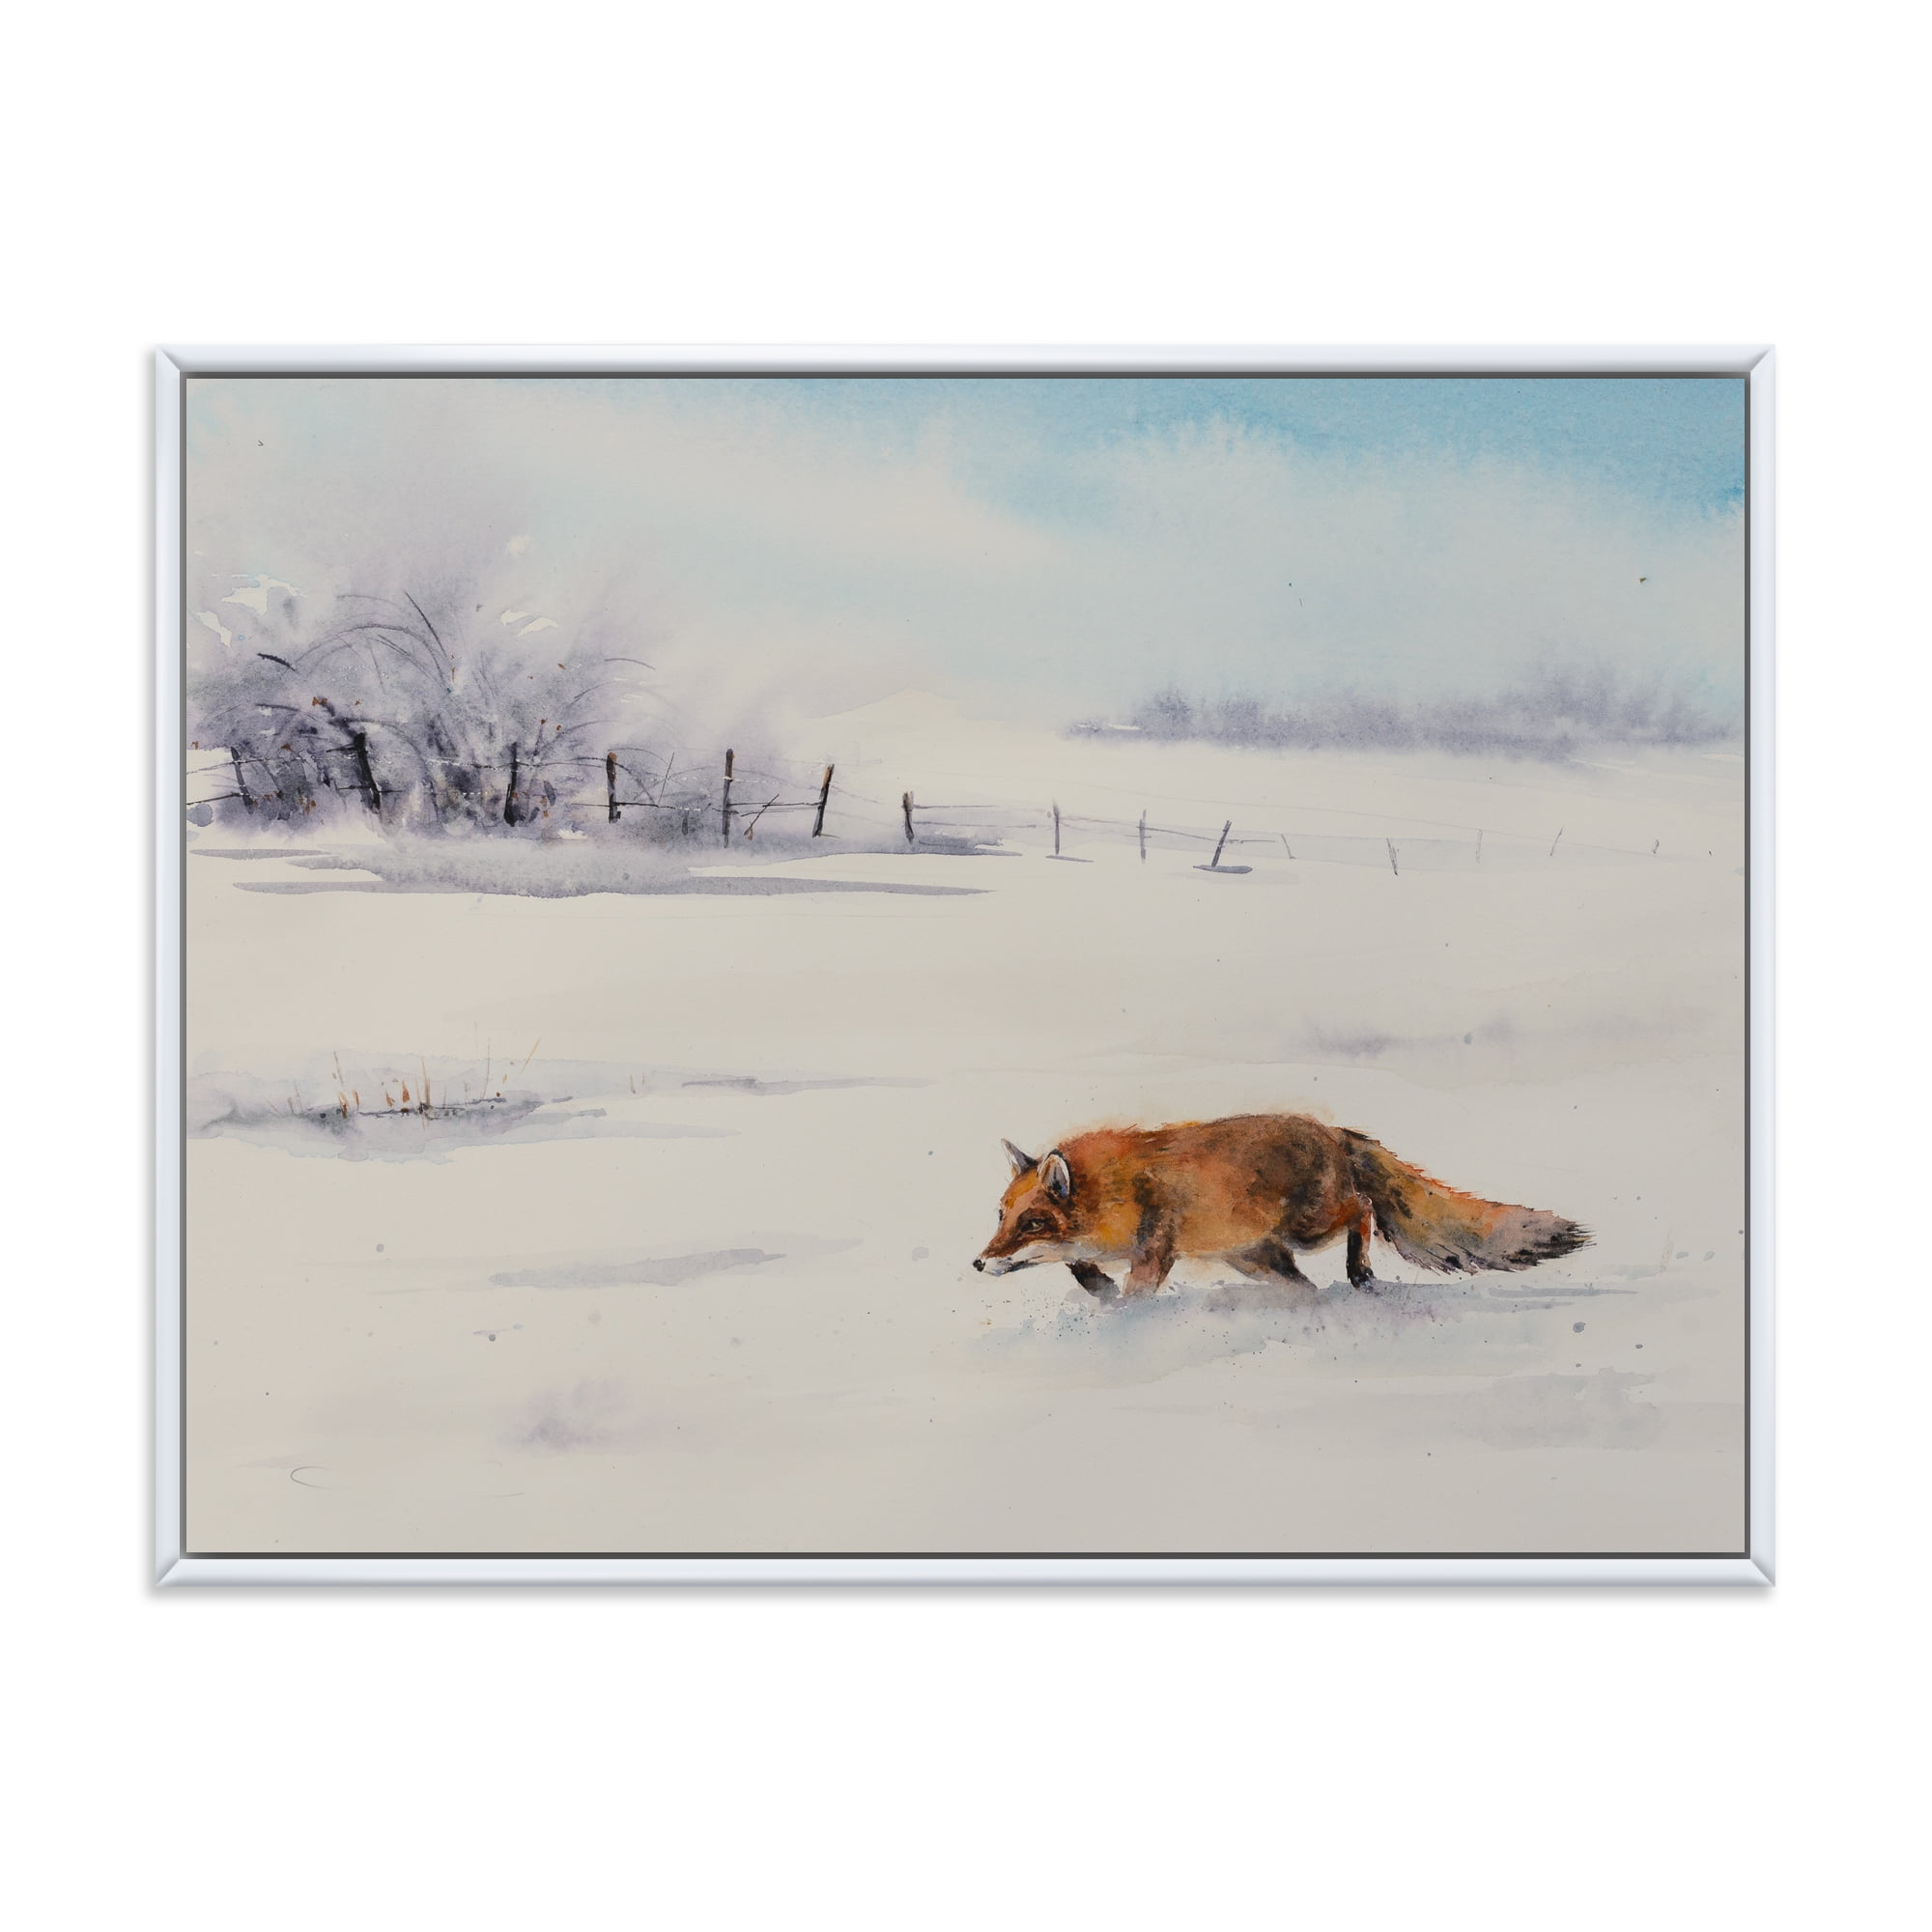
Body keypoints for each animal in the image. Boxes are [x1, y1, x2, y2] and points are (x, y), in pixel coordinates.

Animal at [973, 1113, 1588, 1298]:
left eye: (1032, 1222)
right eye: (1000, 1217)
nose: (978, 1263)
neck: (1118, 1191)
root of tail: (1335, 1131)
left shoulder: (1154, 1249)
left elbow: (1134, 1294)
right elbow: (1083, 1271)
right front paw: (1097, 1291)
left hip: (1308, 1227)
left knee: (1362, 1208)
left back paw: (1360, 1272)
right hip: (1257, 1256)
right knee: (1302, 1283)